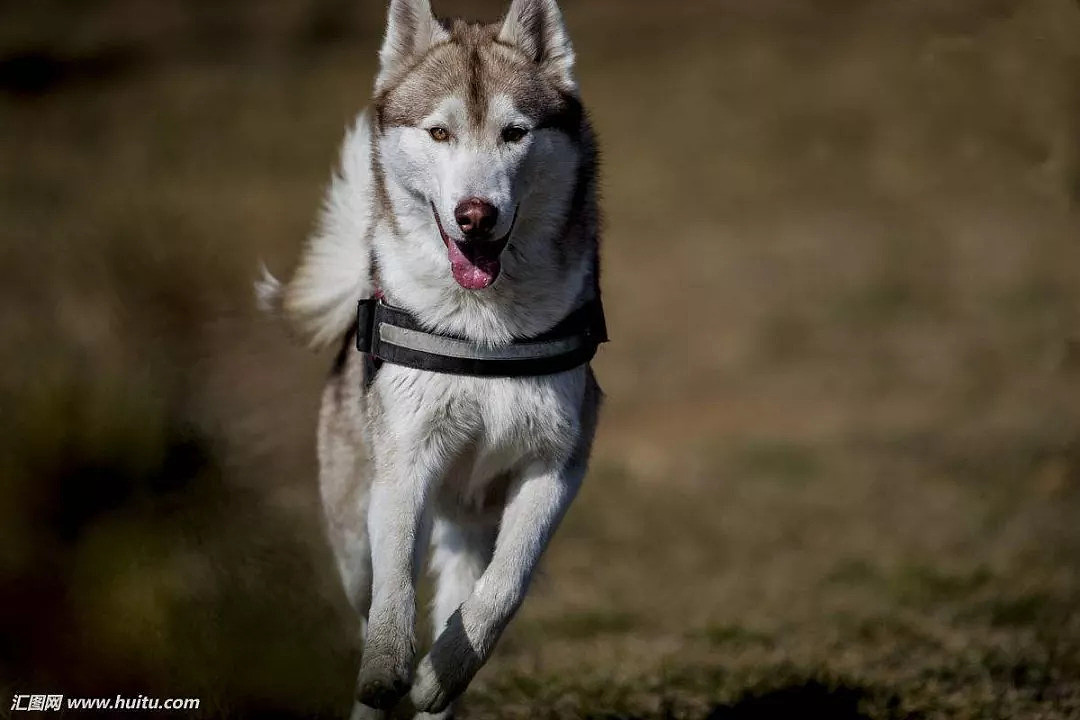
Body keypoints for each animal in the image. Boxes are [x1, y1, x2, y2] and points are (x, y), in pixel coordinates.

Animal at [258, 0, 604, 716]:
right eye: (439, 133)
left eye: (515, 132)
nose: (476, 215)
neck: (484, 332)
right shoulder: (406, 460)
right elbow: (391, 596)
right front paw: (389, 669)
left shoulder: (557, 462)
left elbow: (502, 590)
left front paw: (437, 675)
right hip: (352, 528)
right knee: (366, 600)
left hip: (472, 521)